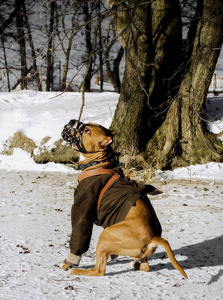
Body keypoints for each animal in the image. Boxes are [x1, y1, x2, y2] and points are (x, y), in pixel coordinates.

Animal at [60, 120, 187, 278]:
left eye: (87, 130)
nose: (73, 121)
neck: (99, 162)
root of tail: (153, 236)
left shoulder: (83, 206)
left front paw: (69, 263)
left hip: (105, 235)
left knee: (99, 270)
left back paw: (78, 271)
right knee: (145, 267)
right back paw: (136, 264)